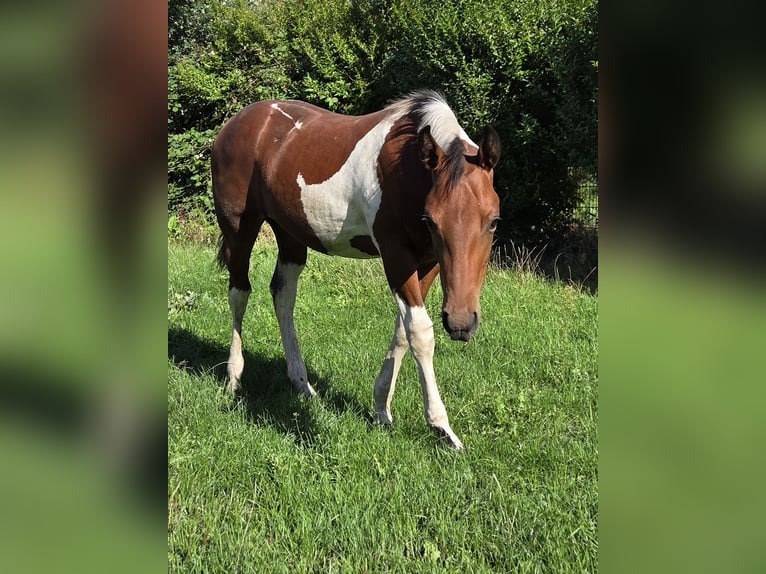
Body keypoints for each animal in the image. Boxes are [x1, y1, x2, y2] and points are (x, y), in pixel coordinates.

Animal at [212, 90, 500, 449]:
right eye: (432, 220)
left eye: (493, 221)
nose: (461, 323)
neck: (406, 168)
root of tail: (236, 123)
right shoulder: (396, 256)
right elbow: (420, 332)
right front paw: (441, 427)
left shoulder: (429, 262)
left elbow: (403, 330)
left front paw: (381, 411)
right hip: (240, 228)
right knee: (239, 294)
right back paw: (234, 379)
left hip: (290, 236)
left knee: (283, 297)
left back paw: (302, 384)